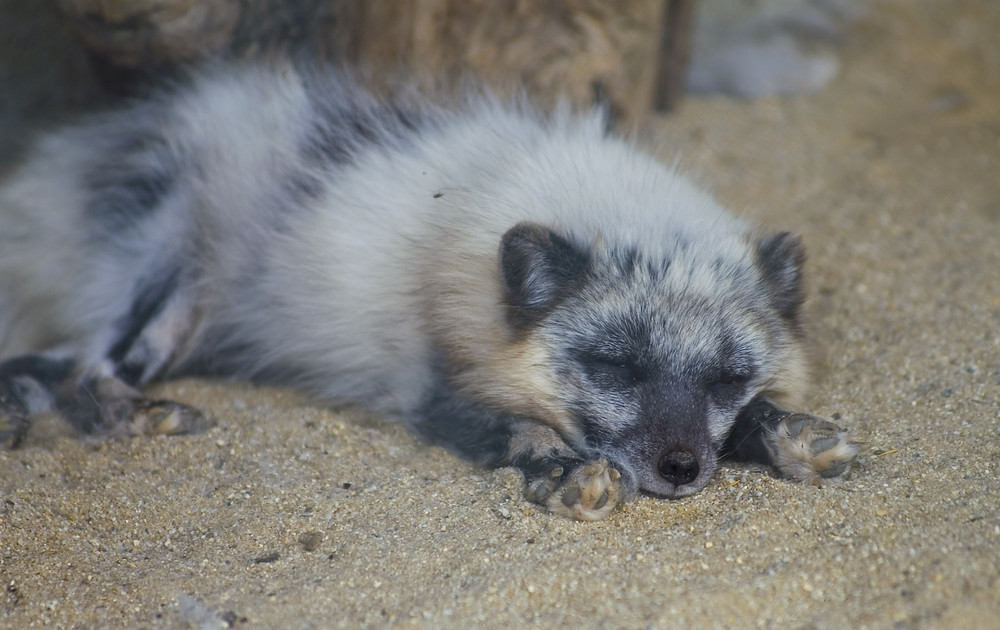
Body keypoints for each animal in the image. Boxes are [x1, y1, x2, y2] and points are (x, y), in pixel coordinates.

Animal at [1, 60, 860, 524]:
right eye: (616, 366)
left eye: (727, 377)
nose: (681, 469)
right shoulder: (431, 384)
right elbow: (516, 427)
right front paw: (564, 469)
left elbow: (754, 419)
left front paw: (788, 432)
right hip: (168, 279)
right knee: (82, 371)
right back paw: (137, 414)